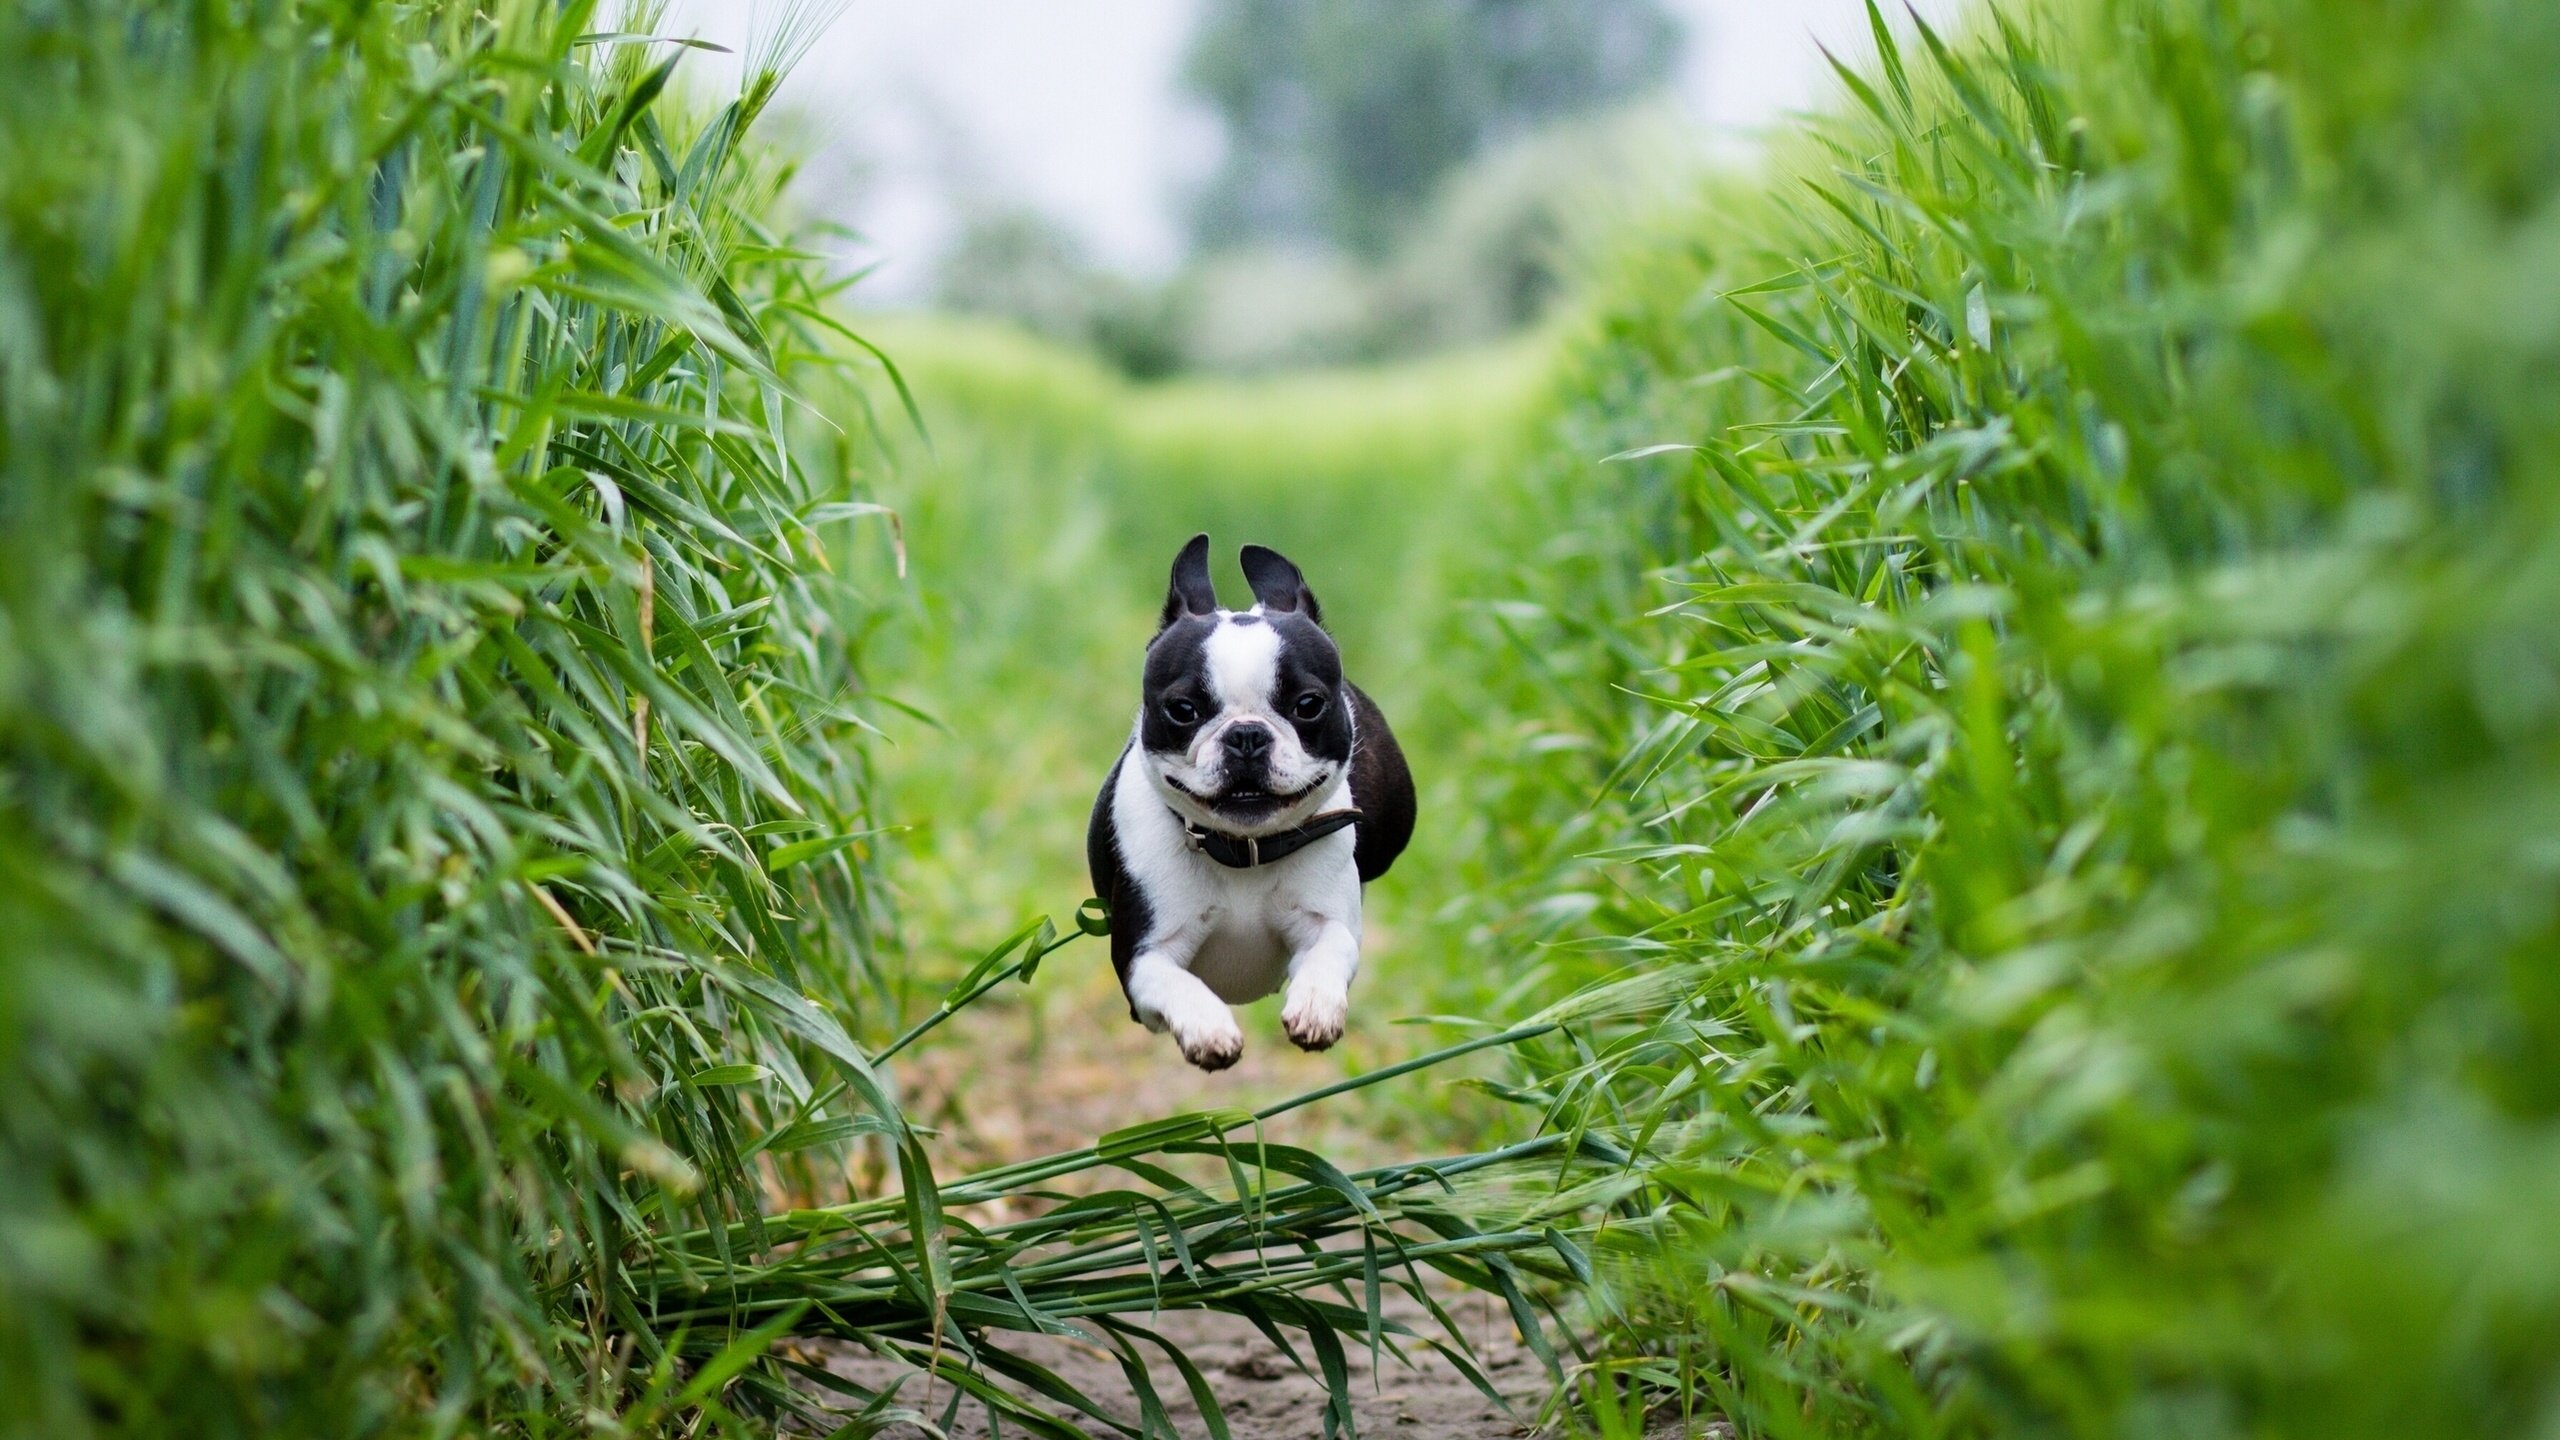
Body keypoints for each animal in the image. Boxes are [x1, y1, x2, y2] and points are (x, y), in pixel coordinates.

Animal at [1085, 532, 1423, 1060]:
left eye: (1308, 705)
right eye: (1182, 710)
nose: (1246, 734)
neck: (1243, 850)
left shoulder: (1327, 920)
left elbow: (1329, 951)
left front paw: (1316, 1008)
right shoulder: (1142, 958)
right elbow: (1175, 982)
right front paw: (1207, 1027)